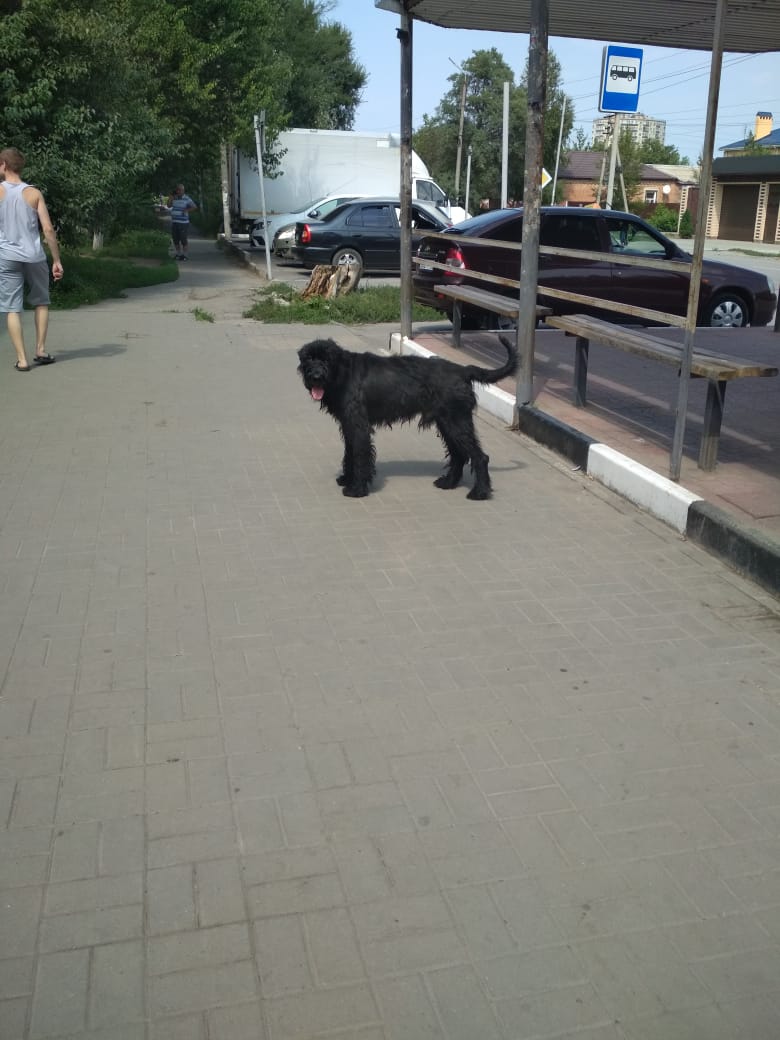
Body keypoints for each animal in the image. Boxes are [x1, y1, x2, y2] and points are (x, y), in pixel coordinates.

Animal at [297, 336, 518, 500]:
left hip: (457, 423)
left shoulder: (358, 427)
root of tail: (462, 370)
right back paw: (448, 483)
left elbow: (359, 455)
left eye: (327, 359)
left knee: (479, 457)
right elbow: (349, 453)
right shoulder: (348, 425)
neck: (342, 372)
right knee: (459, 455)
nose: (316, 377)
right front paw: (347, 478)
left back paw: (480, 492)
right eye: (308, 359)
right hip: (447, 423)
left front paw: (356, 489)